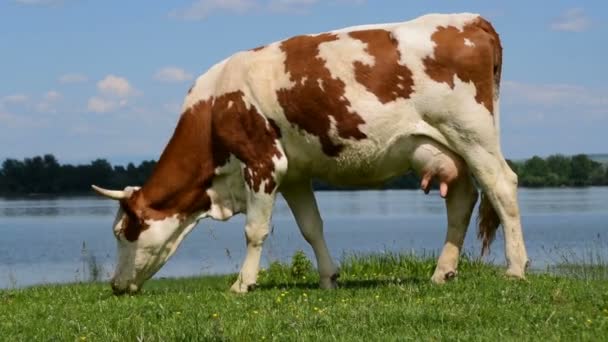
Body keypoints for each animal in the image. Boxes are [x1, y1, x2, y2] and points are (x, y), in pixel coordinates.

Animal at [91, 13, 528, 296]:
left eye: (121, 232)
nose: (115, 286)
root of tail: (471, 19)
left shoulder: (262, 162)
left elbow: (255, 230)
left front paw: (242, 283)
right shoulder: (295, 173)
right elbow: (311, 227)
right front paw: (328, 279)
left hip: (473, 133)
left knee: (502, 186)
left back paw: (515, 269)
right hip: (448, 147)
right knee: (462, 199)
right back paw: (442, 272)